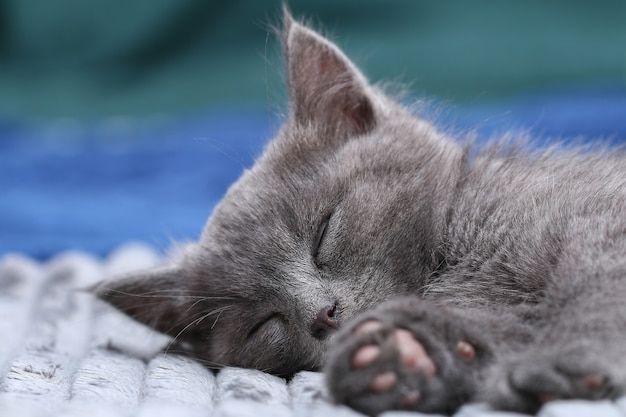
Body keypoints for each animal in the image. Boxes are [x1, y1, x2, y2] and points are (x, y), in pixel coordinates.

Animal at [92, 9, 624, 416]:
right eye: (263, 322)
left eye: (324, 233)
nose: (323, 315)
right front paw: (401, 362)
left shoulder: (597, 224)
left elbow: (594, 289)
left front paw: (569, 362)